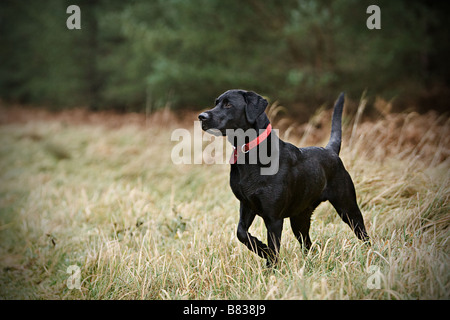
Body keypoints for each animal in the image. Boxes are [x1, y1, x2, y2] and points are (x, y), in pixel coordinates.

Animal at [199, 89, 370, 266]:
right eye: (216, 103)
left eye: (228, 104)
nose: (201, 117)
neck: (250, 154)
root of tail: (331, 151)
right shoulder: (246, 205)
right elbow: (241, 232)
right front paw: (261, 248)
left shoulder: (273, 217)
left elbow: (274, 248)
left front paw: (269, 263)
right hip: (299, 217)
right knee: (308, 244)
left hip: (347, 207)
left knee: (363, 234)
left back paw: (369, 254)